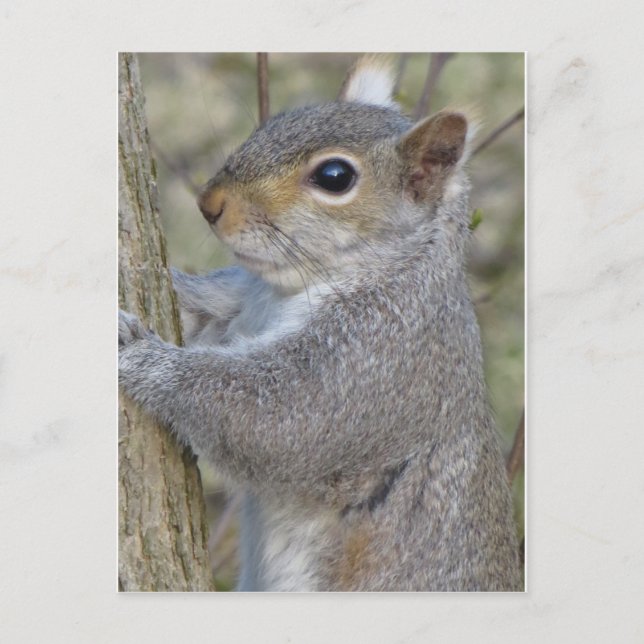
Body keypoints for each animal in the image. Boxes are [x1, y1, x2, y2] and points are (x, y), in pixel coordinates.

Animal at [118, 55, 523, 592]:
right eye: (275, 121)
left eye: (335, 176)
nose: (209, 203)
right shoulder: (242, 307)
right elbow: (200, 314)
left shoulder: (377, 360)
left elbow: (274, 417)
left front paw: (138, 354)